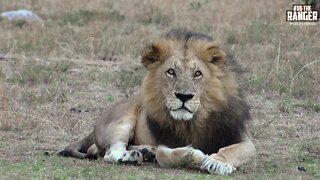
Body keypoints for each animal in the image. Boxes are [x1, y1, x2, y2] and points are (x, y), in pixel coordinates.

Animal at [58, 30, 256, 175]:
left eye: (197, 74)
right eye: (171, 72)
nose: (184, 96)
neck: (195, 121)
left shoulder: (242, 139)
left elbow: (233, 150)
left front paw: (217, 162)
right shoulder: (166, 141)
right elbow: (164, 154)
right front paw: (195, 155)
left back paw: (145, 151)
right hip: (121, 121)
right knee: (109, 152)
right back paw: (132, 156)